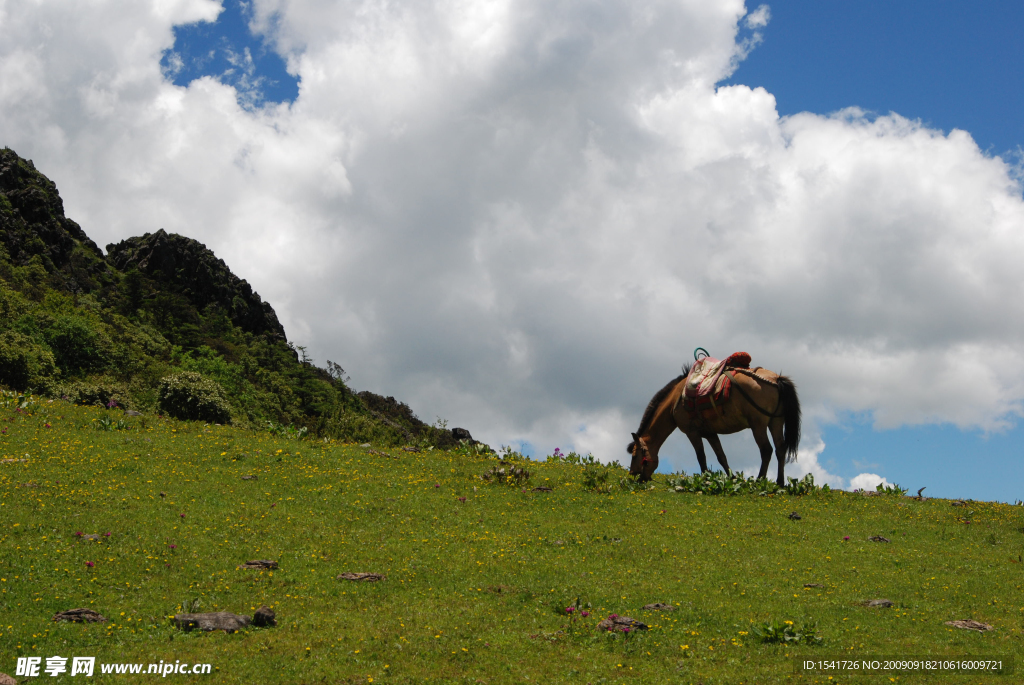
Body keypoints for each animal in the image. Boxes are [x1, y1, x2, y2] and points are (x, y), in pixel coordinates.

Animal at [622, 360, 798, 483]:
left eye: (635, 455)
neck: (675, 401)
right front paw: (732, 479)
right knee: (780, 449)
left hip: (758, 425)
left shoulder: (692, 432)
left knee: (766, 450)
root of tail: (776, 379)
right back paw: (780, 482)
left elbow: (701, 456)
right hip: (776, 422)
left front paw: (705, 479)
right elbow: (721, 457)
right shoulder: (710, 433)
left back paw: (760, 480)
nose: (634, 475)